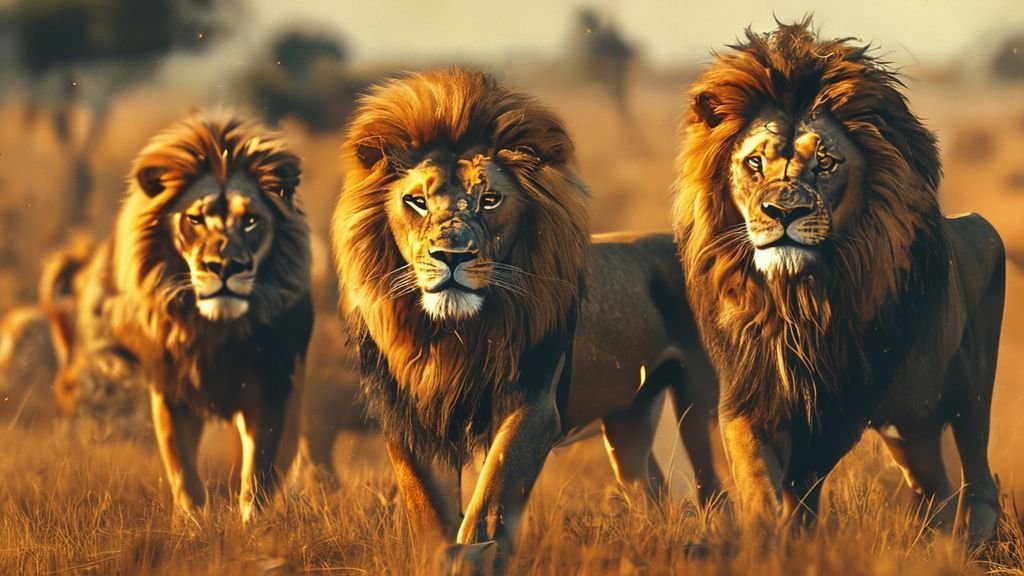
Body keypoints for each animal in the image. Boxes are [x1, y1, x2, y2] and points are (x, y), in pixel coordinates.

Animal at [98, 112, 313, 521]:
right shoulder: (171, 391)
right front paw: (194, 524)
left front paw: (253, 525)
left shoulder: (271, 386)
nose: (225, 267)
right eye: (195, 219)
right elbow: (183, 473)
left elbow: (258, 471)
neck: (213, 331)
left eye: (251, 221)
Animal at [333, 68, 720, 571]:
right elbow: (427, 511)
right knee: (650, 490)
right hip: (628, 420)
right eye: (416, 201)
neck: (453, 334)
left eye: (490, 199)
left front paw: (478, 556)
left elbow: (491, 496)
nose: (451, 256)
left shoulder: (534, 403)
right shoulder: (411, 417)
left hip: (704, 407)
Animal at [673, 20, 1004, 543]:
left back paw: (976, 543)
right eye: (754, 163)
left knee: (976, 475)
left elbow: (804, 482)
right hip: (912, 424)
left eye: (825, 163)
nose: (783, 212)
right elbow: (760, 480)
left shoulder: (840, 408)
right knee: (936, 485)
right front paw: (769, 538)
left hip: (970, 388)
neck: (797, 302)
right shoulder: (751, 394)